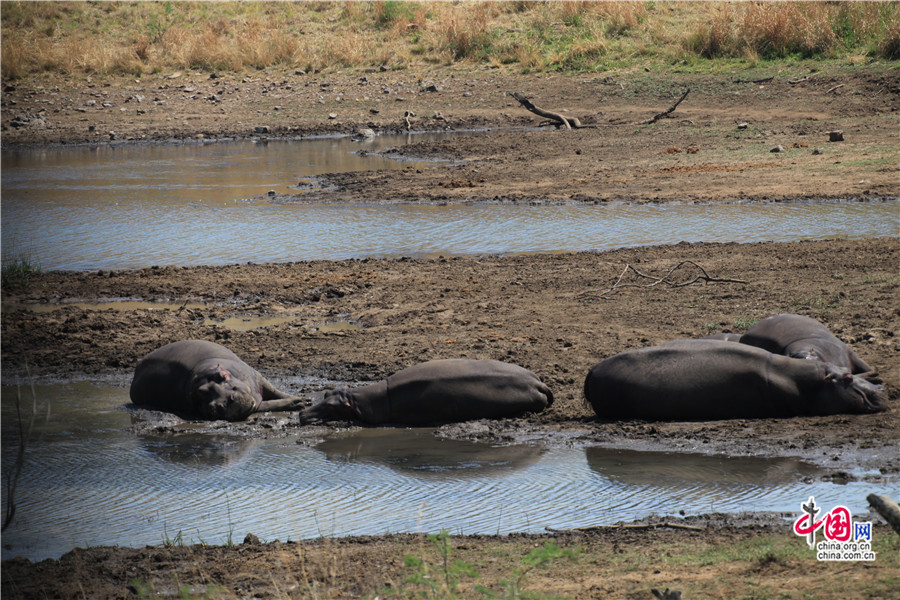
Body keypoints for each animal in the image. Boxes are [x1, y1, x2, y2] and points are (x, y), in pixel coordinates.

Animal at [129, 340, 306, 420]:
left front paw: (301, 400)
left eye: (223, 376)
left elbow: (276, 392)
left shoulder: (257, 378)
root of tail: (136, 369)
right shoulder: (254, 401)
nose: (221, 404)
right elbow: (267, 404)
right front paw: (299, 403)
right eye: (200, 393)